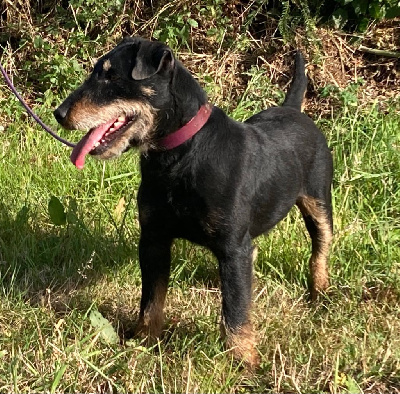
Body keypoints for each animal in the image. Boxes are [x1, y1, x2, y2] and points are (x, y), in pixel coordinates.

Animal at [54, 37, 334, 366]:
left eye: (110, 76)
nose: (59, 113)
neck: (179, 155)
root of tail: (294, 110)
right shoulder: (154, 239)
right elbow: (151, 298)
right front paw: (143, 341)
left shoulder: (233, 247)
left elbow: (236, 308)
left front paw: (243, 359)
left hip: (318, 202)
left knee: (320, 247)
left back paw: (319, 292)